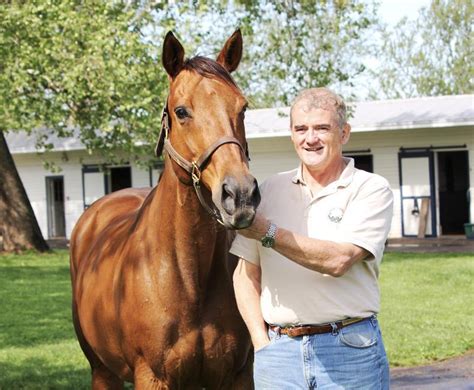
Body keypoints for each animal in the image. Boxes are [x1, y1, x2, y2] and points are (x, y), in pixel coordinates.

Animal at [71, 31, 262, 390]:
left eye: (243, 108)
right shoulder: (152, 376)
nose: (240, 194)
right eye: (181, 111)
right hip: (102, 370)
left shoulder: (236, 375)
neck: (189, 279)